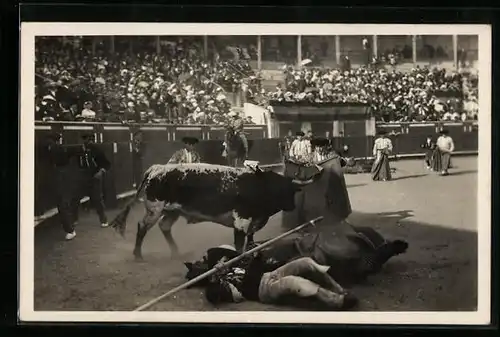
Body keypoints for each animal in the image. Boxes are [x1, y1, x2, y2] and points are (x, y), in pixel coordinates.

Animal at [110, 161, 300, 258]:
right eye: (279, 189)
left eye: (291, 190)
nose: (292, 206)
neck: (257, 185)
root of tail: (156, 169)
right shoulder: (241, 220)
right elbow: (239, 243)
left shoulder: (253, 220)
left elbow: (250, 238)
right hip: (154, 209)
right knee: (142, 226)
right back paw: (137, 254)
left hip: (172, 211)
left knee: (164, 227)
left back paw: (176, 252)